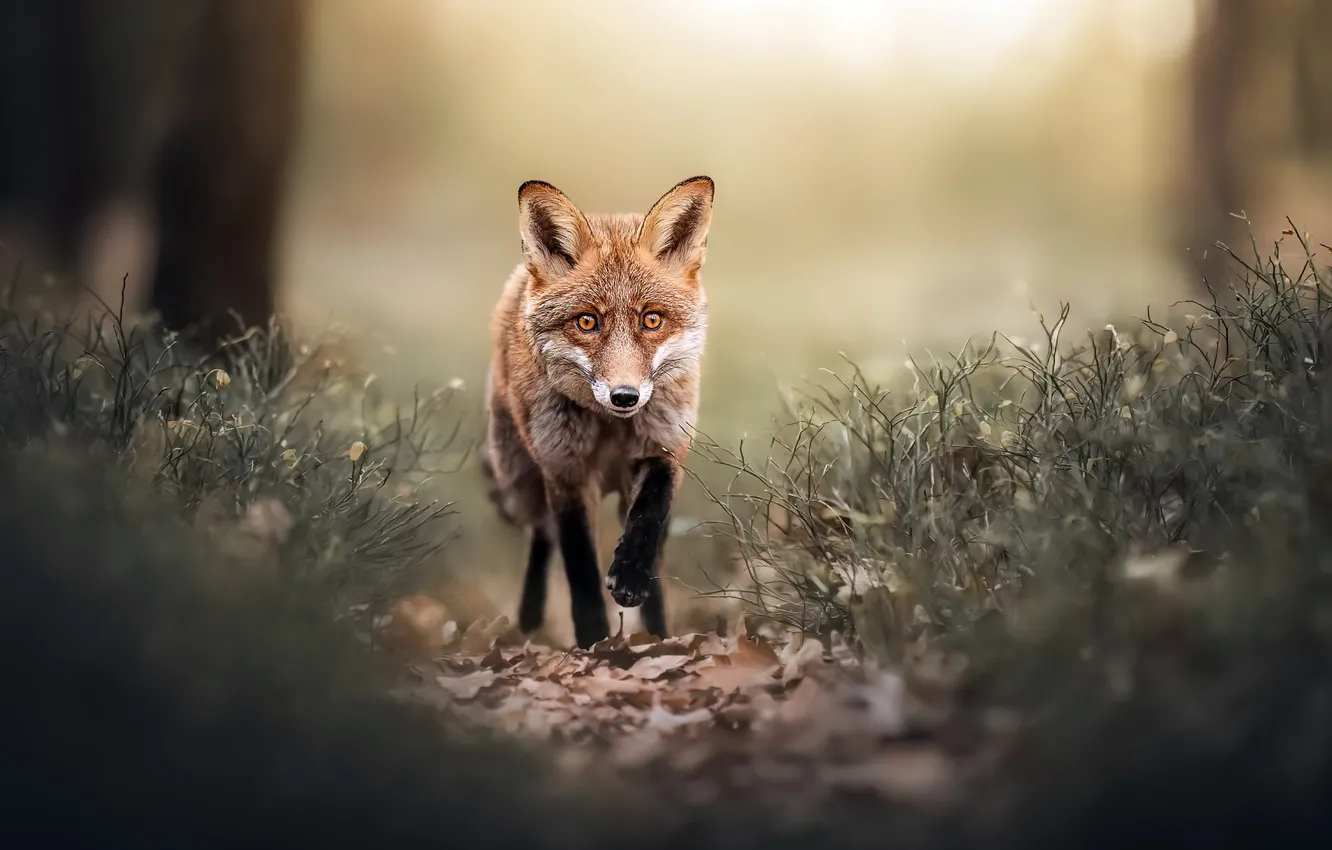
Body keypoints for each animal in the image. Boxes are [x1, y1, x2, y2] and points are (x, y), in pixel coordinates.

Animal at [480, 176, 714, 648]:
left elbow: (649, 518)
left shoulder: (665, 448)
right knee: (541, 534)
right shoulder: (565, 472)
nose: (625, 396)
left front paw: (631, 578)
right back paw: (530, 616)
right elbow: (580, 568)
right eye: (587, 322)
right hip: (518, 484)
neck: (611, 431)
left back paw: (657, 631)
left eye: (651, 320)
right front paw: (594, 643)